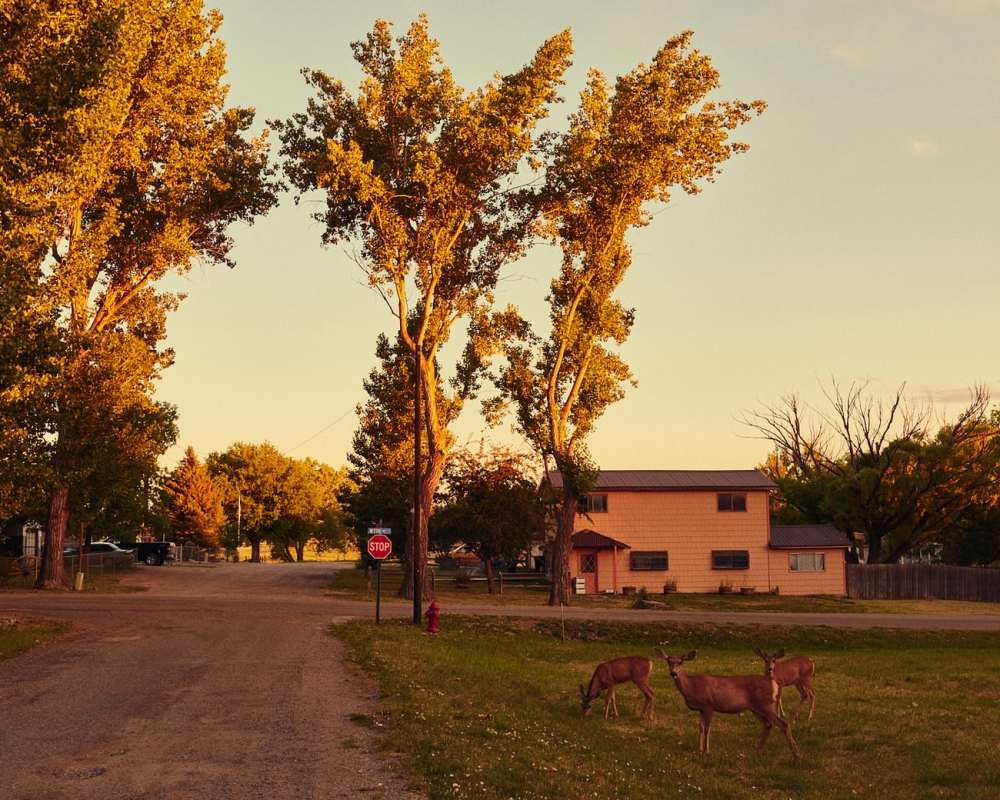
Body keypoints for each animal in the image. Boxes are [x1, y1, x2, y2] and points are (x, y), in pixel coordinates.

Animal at [656, 648, 804, 760]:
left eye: (680, 662)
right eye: (668, 661)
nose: (673, 673)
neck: (692, 686)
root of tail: (773, 683)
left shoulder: (709, 705)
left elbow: (707, 728)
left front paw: (706, 751)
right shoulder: (701, 709)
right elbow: (700, 728)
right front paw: (699, 751)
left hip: (765, 705)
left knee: (783, 724)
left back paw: (796, 754)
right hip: (757, 708)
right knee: (769, 725)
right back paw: (757, 751)